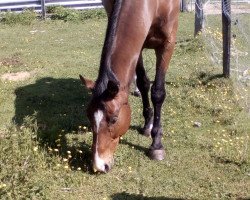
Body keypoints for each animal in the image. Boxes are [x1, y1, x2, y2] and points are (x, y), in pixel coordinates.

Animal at [80, 0, 180, 172]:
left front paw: (156, 145)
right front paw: (147, 125)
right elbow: (143, 83)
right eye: (89, 116)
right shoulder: (138, 45)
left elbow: (158, 92)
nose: (99, 165)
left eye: (114, 119)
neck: (153, 5)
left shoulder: (168, 43)